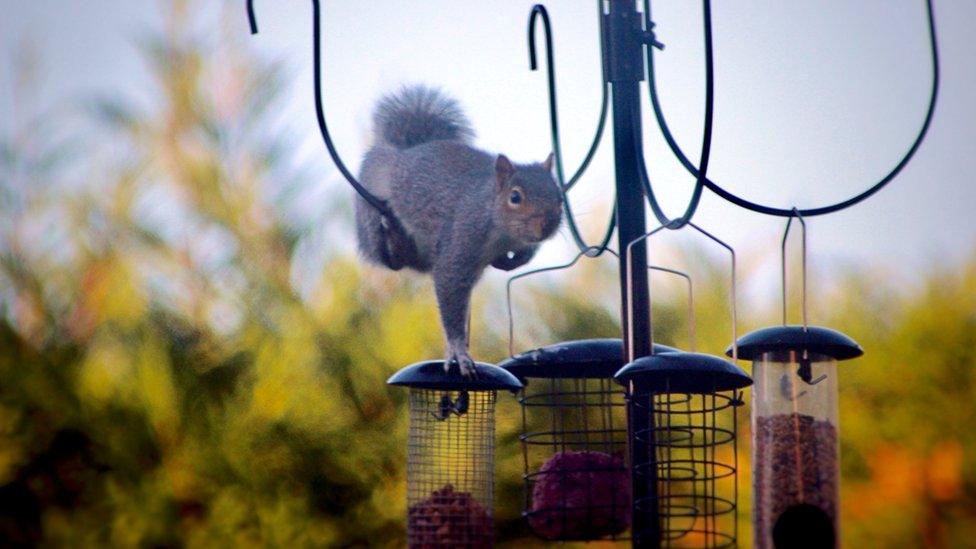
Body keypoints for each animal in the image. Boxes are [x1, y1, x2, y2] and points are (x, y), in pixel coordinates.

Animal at [354, 85, 560, 376]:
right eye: (515, 197)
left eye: (560, 196)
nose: (547, 225)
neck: (501, 231)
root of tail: (410, 150)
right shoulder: (461, 240)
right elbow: (449, 290)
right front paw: (459, 353)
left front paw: (512, 261)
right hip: (370, 209)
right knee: (392, 260)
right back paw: (393, 240)